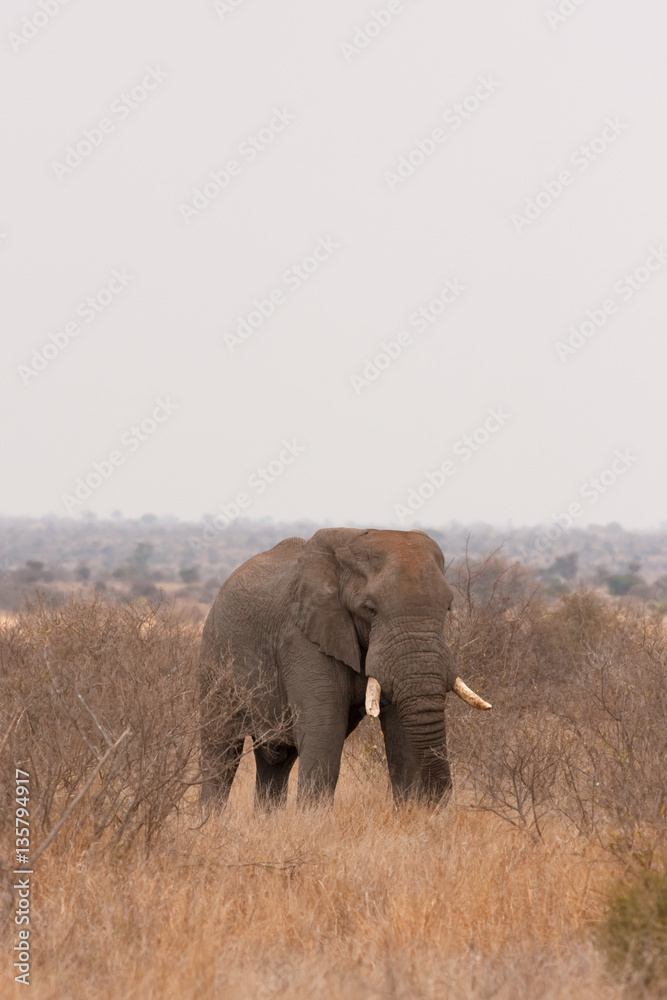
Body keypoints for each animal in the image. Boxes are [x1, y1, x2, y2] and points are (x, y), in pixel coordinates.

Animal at [199, 527, 491, 808]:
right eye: (370, 609)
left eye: (448, 607)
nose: (435, 801)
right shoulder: (302, 636)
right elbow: (324, 732)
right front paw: (312, 820)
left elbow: (402, 738)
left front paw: (411, 813)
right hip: (215, 657)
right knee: (221, 750)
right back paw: (210, 819)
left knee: (276, 760)